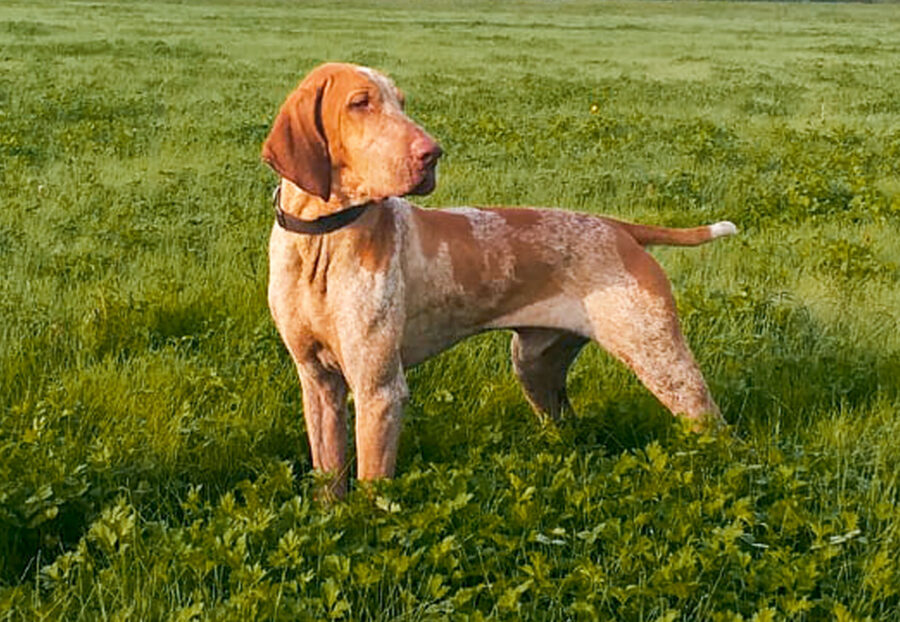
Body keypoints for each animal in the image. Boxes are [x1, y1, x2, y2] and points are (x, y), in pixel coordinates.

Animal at [260, 63, 740, 500]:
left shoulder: (379, 390)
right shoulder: (318, 383)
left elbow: (371, 492)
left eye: (402, 102)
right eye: (360, 103)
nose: (433, 154)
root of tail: (617, 227)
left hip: (663, 362)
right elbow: (329, 480)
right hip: (534, 365)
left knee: (718, 429)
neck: (322, 239)